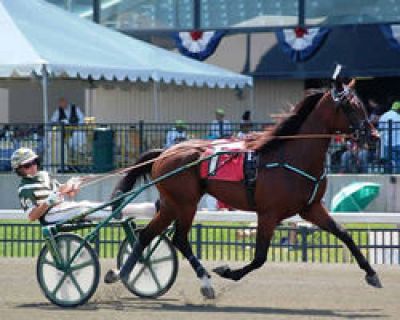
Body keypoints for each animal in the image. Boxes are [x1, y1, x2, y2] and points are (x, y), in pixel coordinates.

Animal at [108, 79, 382, 298]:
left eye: (362, 105)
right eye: (350, 106)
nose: (375, 137)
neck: (291, 155)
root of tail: (165, 152)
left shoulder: (311, 208)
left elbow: (344, 234)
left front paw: (371, 273)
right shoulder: (269, 214)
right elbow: (260, 257)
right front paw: (227, 271)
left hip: (170, 204)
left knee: (147, 235)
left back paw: (122, 273)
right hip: (184, 203)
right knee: (179, 238)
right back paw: (203, 281)